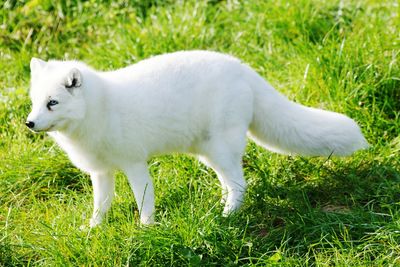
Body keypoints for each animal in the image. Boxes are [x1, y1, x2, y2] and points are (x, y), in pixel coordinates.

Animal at [25, 50, 368, 228]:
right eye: (34, 101)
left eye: (52, 102)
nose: (29, 123)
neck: (99, 110)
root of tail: (242, 68)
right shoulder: (101, 171)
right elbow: (101, 205)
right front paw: (93, 229)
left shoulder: (135, 163)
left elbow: (144, 200)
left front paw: (145, 230)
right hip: (208, 152)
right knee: (230, 183)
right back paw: (220, 208)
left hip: (221, 148)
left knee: (240, 184)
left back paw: (226, 217)